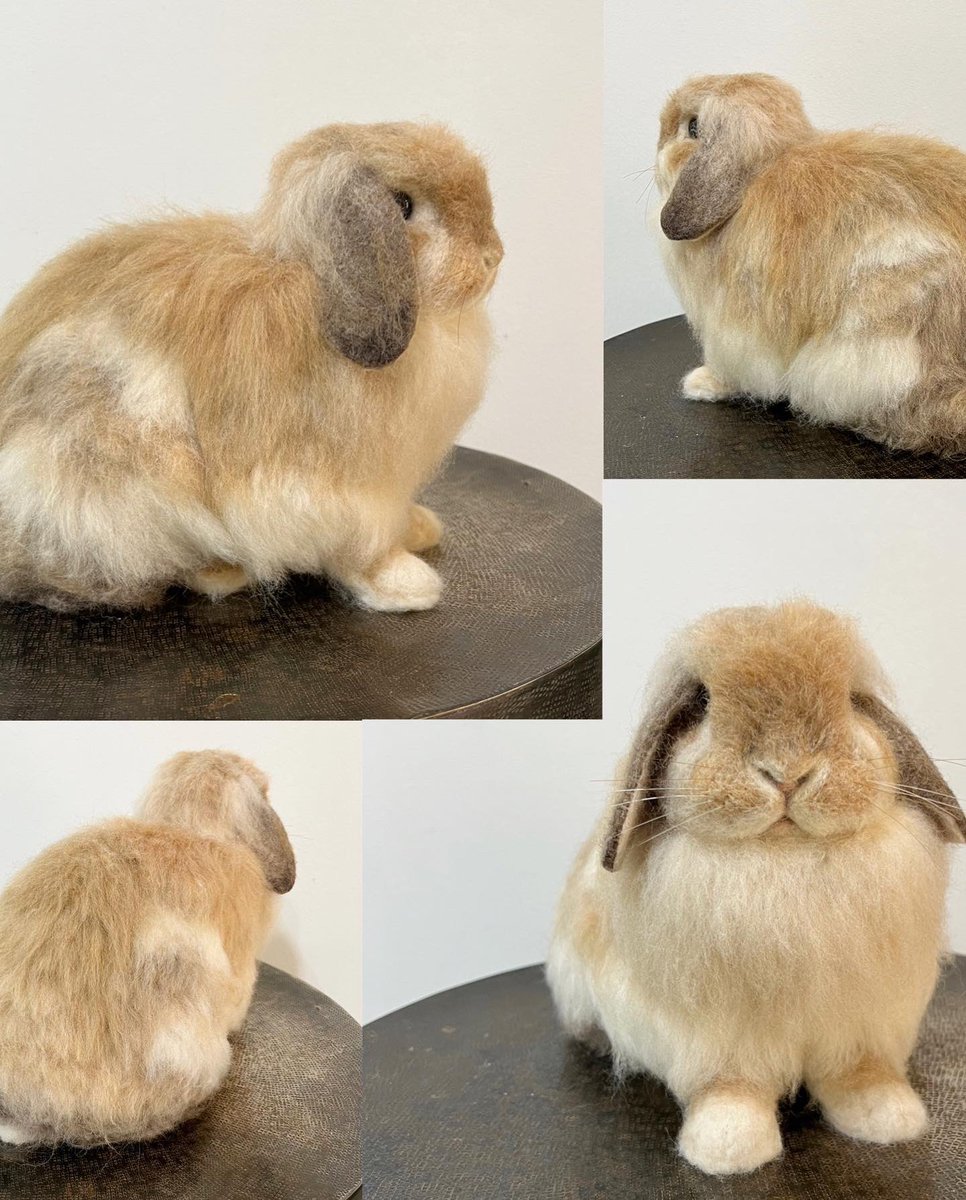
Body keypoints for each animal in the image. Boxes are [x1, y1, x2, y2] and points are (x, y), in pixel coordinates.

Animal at [0, 122, 503, 612]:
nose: (493, 257)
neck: (320, 286)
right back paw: (221, 573)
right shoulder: (330, 491)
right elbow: (358, 546)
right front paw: (401, 582)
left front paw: (418, 527)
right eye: (403, 205)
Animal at [547, 599, 966, 1176]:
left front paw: (886, 1116)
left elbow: (859, 1072)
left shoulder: (863, 1023)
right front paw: (730, 1148)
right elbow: (732, 1086)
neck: (784, 861)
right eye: (702, 702)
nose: (788, 772)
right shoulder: (716, 1037)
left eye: (851, 701)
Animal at [654, 73, 966, 456]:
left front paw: (703, 382)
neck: (753, 180)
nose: (658, 139)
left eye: (692, 127)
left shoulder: (739, 330)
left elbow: (740, 370)